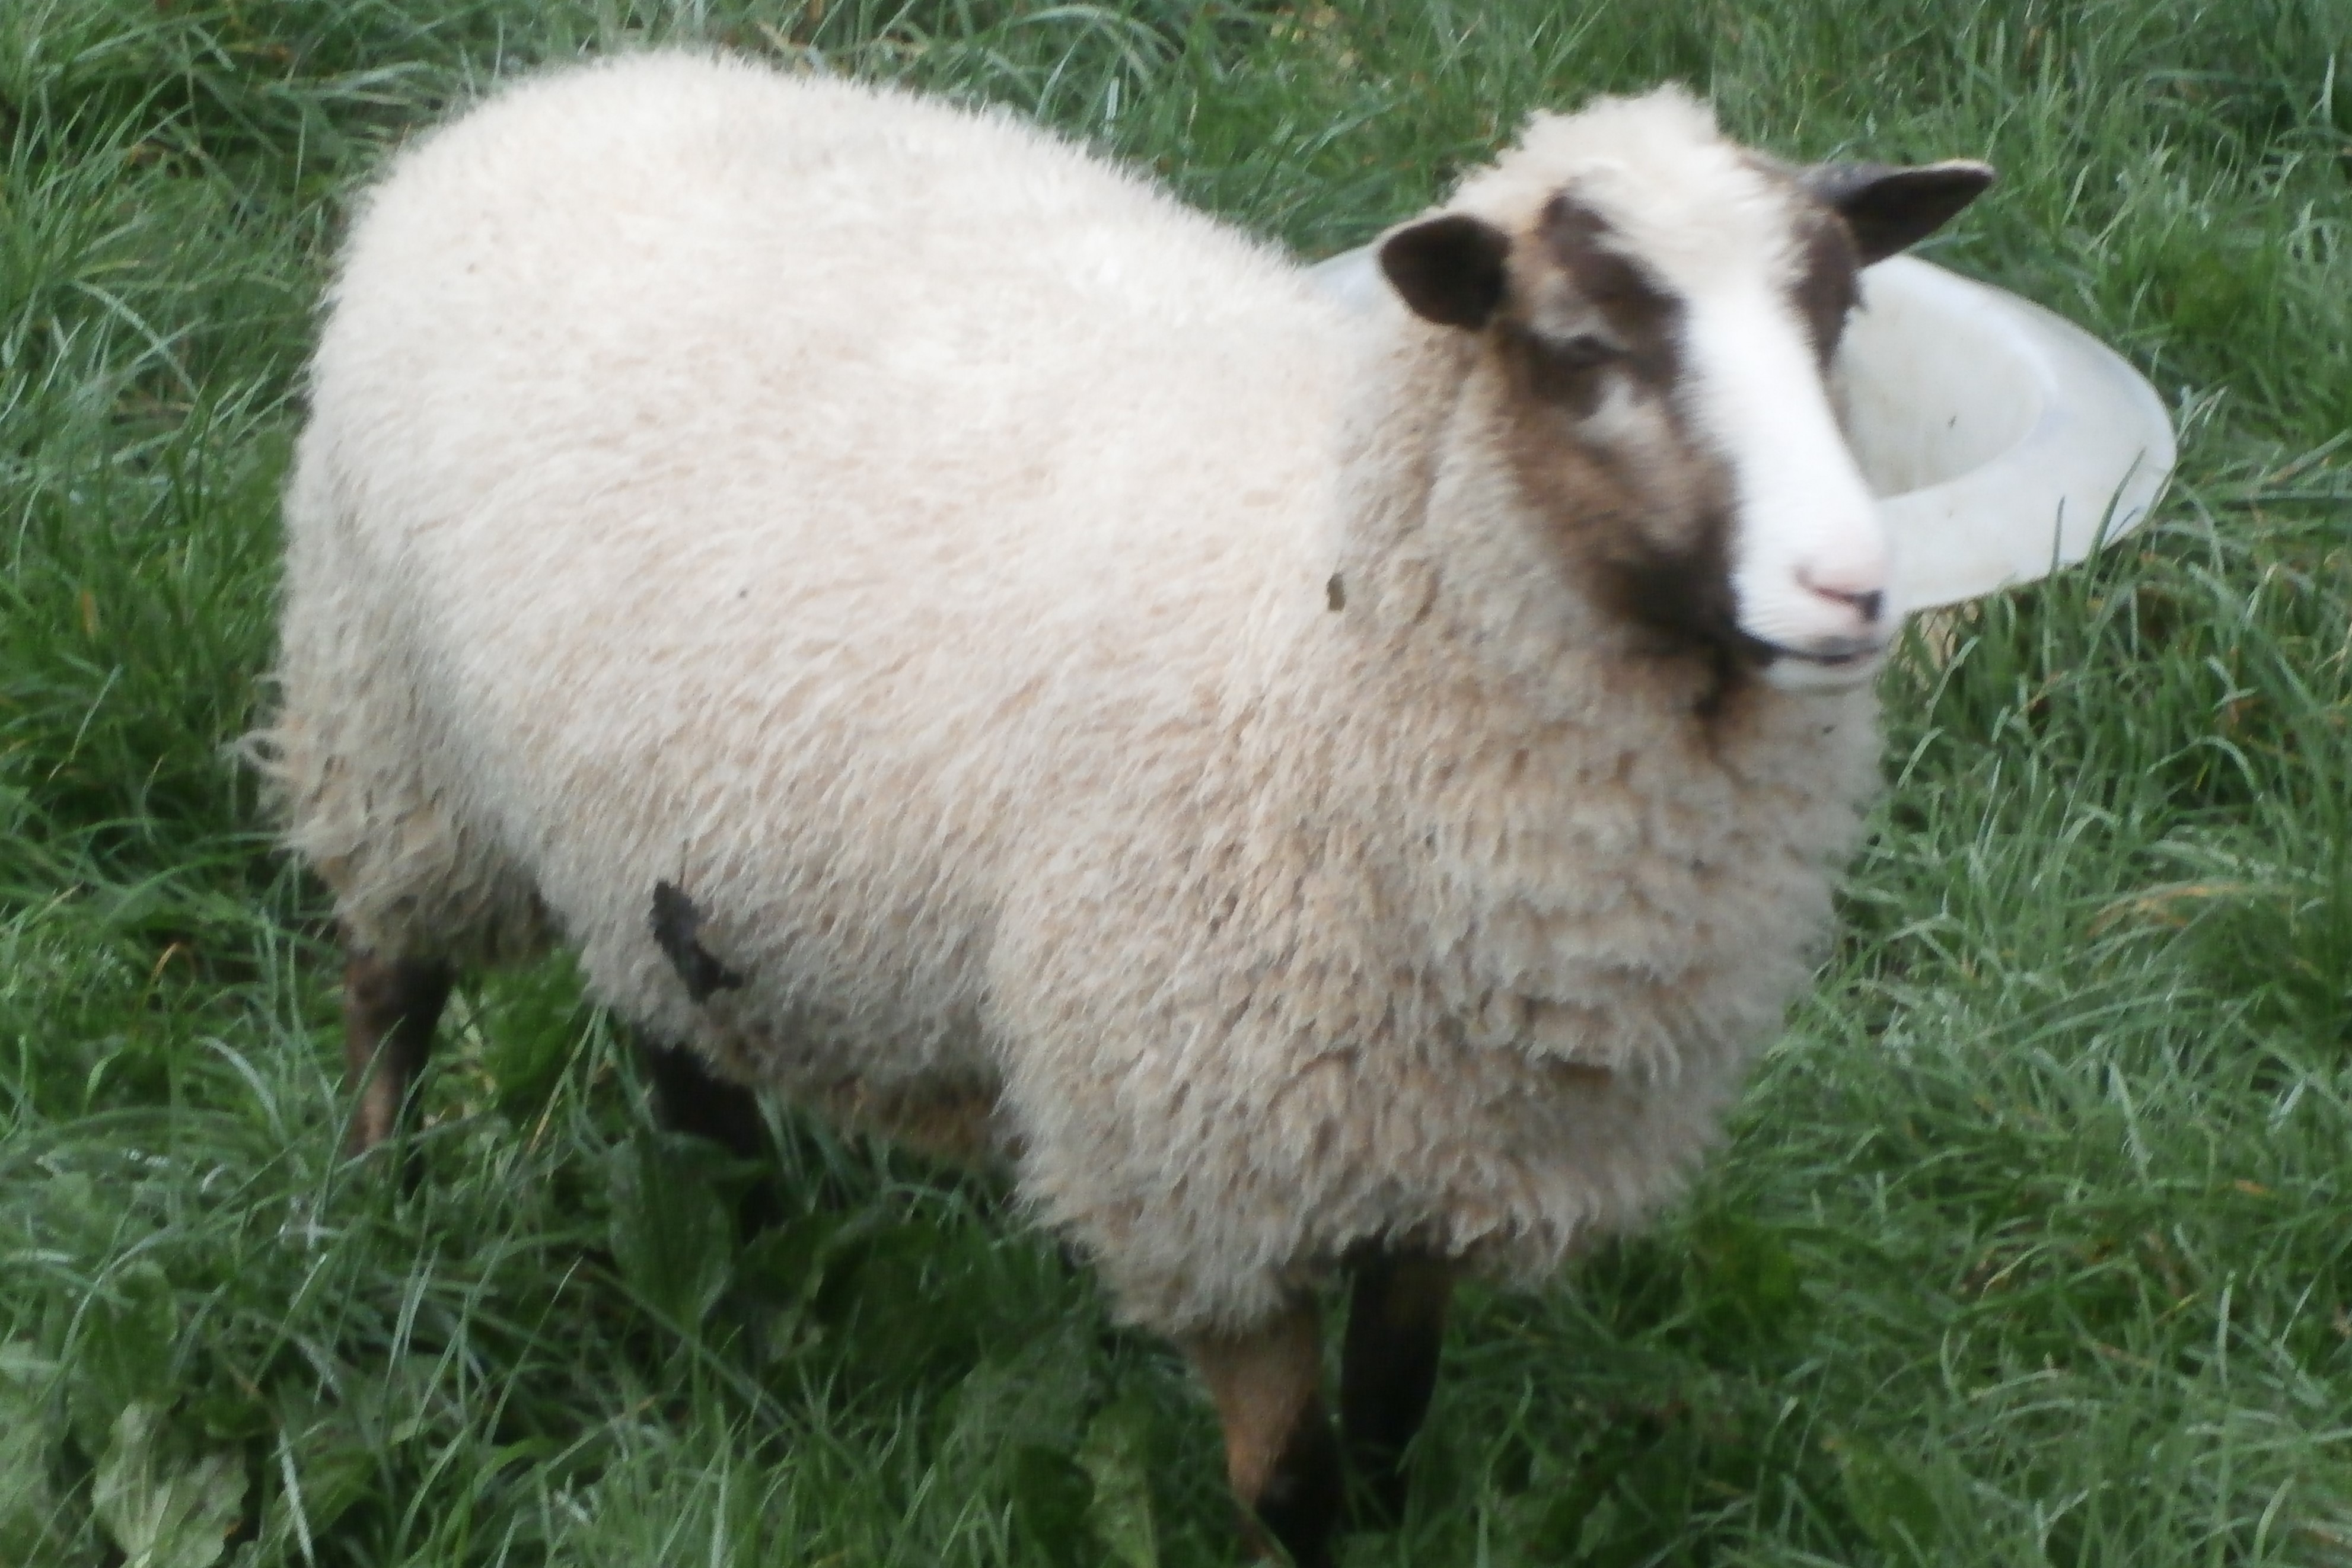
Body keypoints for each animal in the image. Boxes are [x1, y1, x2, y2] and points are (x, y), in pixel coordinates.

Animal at [254, 49, 1991, 1566]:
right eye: (1576, 349)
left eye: (1835, 313)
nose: (1851, 587)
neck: (1322, 658)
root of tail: (555, 85)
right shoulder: (1198, 1164)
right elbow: (1290, 1478)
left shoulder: (1436, 1152)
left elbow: (1393, 1418)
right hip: (387, 718)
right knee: (391, 981)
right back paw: (376, 1202)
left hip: (645, 831)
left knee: (680, 1052)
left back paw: (737, 1251)